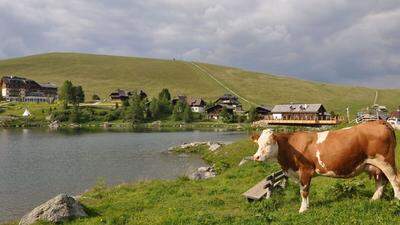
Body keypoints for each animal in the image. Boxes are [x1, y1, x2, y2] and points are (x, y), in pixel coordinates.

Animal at [252, 119, 398, 213]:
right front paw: (307, 206)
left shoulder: (305, 170)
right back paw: (374, 200)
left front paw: (302, 209)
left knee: (395, 180)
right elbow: (305, 190)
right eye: (258, 143)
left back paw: (396, 201)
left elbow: (303, 191)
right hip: (375, 165)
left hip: (386, 162)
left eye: (268, 143)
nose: (256, 157)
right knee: (381, 181)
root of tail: (378, 122)